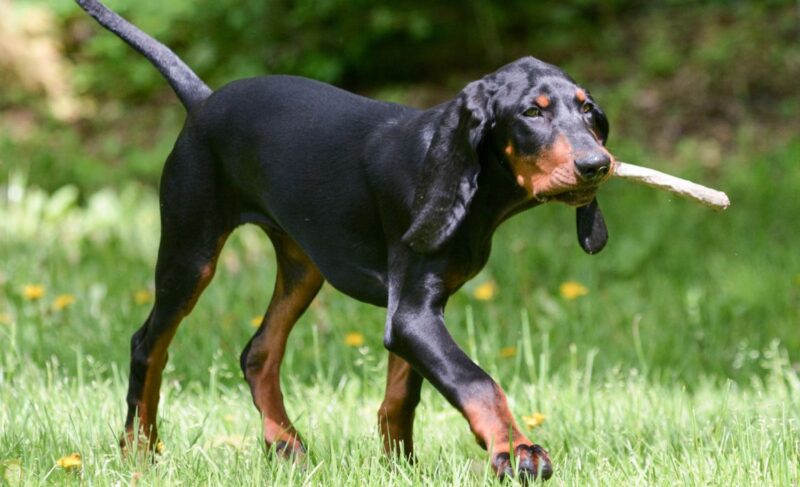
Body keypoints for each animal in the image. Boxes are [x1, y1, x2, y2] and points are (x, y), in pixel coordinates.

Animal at [76, 0, 612, 480]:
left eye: (588, 111)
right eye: (532, 113)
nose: (597, 165)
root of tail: (203, 98)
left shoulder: (415, 311)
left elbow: (402, 395)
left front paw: (401, 468)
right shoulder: (413, 313)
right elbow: (476, 381)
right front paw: (517, 450)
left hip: (303, 266)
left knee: (258, 352)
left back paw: (285, 445)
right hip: (190, 252)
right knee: (148, 344)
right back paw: (139, 452)